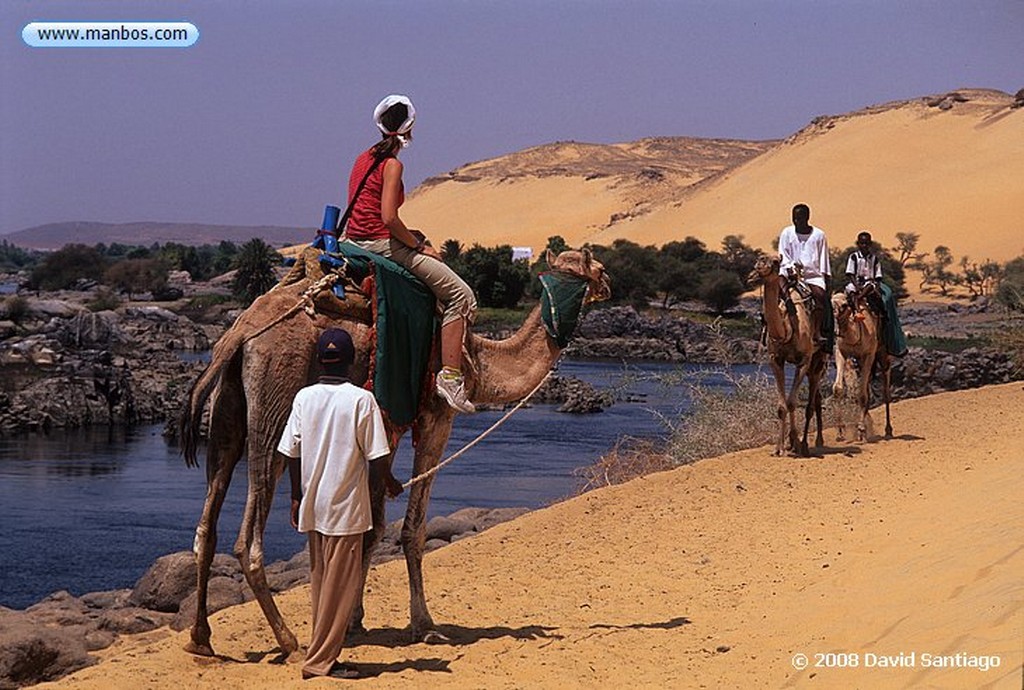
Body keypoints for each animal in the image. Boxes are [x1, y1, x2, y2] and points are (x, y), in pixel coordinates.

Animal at [178, 247, 606, 655]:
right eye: (597, 269)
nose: (609, 283)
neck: (480, 361)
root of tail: (242, 333)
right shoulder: (435, 417)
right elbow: (410, 528)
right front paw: (424, 624)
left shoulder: (383, 425)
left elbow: (370, 526)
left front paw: (353, 620)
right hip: (276, 402)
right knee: (247, 540)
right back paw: (288, 641)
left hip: (227, 410)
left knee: (207, 525)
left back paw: (201, 637)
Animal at [749, 254, 827, 454]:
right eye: (757, 261)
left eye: (775, 262)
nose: (752, 275)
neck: (787, 327)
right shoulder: (776, 360)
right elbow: (782, 406)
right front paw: (780, 447)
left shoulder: (804, 359)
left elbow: (792, 403)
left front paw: (797, 443)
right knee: (816, 399)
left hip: (819, 360)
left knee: (811, 404)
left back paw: (807, 444)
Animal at [831, 286, 888, 438]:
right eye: (830, 301)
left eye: (845, 305)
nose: (834, 315)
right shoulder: (841, 352)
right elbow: (838, 388)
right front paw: (840, 430)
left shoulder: (868, 355)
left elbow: (861, 393)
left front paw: (861, 429)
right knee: (868, 387)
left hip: (883, 355)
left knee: (885, 390)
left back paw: (888, 429)